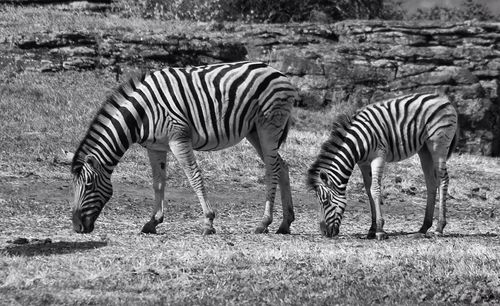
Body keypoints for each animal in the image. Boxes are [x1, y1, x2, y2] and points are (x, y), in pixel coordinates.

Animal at [69, 61, 298, 235]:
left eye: (88, 185)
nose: (77, 226)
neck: (141, 114)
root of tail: (278, 72)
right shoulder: (155, 147)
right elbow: (158, 183)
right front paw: (153, 222)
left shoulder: (178, 139)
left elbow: (194, 177)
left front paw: (209, 222)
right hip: (254, 131)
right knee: (282, 166)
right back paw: (285, 223)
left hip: (268, 126)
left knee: (272, 169)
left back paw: (264, 222)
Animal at [304, 92, 458, 240]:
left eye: (325, 201)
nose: (324, 232)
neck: (357, 143)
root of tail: (443, 99)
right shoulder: (363, 163)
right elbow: (368, 190)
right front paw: (372, 229)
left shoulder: (378, 157)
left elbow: (375, 189)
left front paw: (379, 230)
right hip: (424, 149)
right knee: (431, 183)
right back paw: (423, 229)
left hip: (438, 145)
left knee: (443, 180)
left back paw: (439, 228)